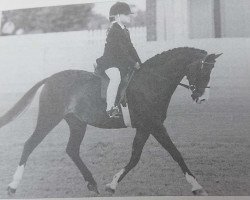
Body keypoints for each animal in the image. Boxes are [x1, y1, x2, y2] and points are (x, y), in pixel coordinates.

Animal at [0, 47, 223, 197]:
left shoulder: (145, 127)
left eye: (211, 72)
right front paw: (197, 186)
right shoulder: (155, 126)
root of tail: (51, 78)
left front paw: (112, 185)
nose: (202, 98)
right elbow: (175, 152)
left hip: (77, 123)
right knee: (30, 144)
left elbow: (135, 157)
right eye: (203, 71)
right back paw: (13, 186)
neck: (152, 82)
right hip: (49, 118)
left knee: (72, 150)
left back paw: (92, 184)